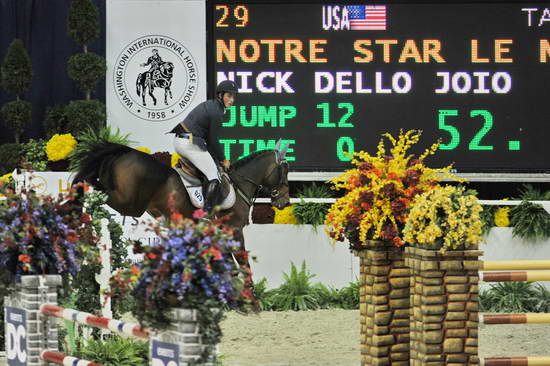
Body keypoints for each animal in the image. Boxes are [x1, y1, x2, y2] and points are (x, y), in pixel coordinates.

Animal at [73, 140, 294, 308]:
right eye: (284, 170)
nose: (284, 202)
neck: (240, 185)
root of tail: (126, 152)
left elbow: (229, 266)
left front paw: (231, 299)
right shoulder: (234, 230)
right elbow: (243, 264)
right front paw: (251, 298)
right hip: (131, 204)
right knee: (98, 190)